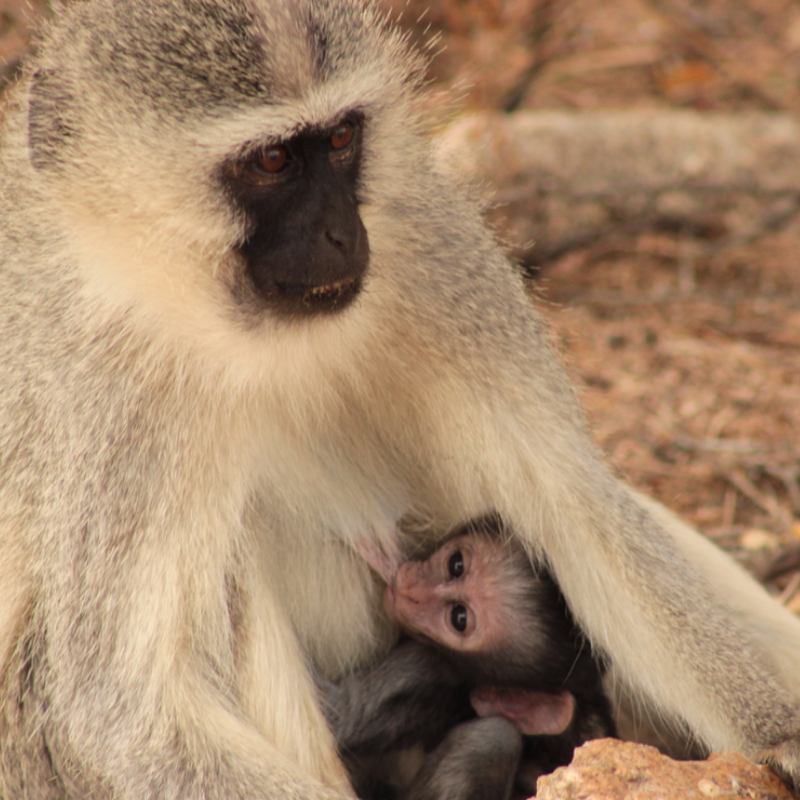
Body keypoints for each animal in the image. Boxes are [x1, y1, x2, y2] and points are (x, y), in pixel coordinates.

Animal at [318, 528, 612, 796]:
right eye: (456, 564)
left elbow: (341, 715)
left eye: (459, 617)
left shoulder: (431, 668)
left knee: (493, 738)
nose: (412, 591)